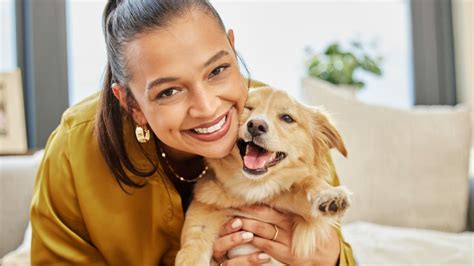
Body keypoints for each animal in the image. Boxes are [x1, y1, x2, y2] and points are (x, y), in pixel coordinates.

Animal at [176, 86, 350, 264]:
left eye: (287, 118)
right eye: (248, 108)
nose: (255, 125)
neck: (253, 187)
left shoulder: (305, 220)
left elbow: (306, 180)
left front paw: (329, 195)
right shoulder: (199, 229)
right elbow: (192, 253)